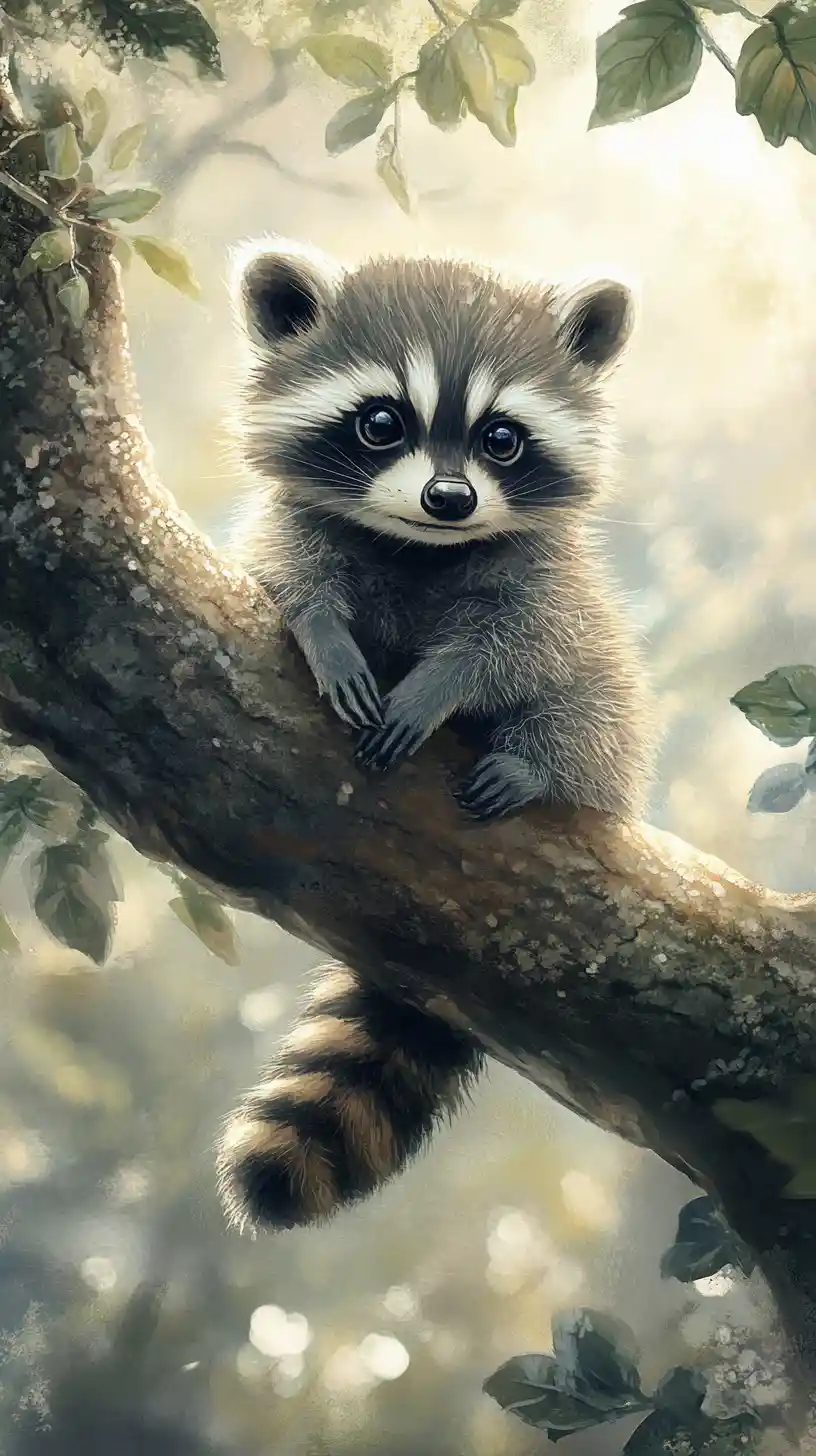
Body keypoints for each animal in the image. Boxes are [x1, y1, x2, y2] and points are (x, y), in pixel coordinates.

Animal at [217, 237, 654, 1233]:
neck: (420, 545)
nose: (449, 498)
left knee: (599, 697)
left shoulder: (541, 577)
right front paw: (326, 634)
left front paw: (444, 683)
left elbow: (517, 642)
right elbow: (287, 573)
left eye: (501, 438)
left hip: (609, 724)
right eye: (382, 423)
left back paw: (537, 765)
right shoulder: (291, 528)